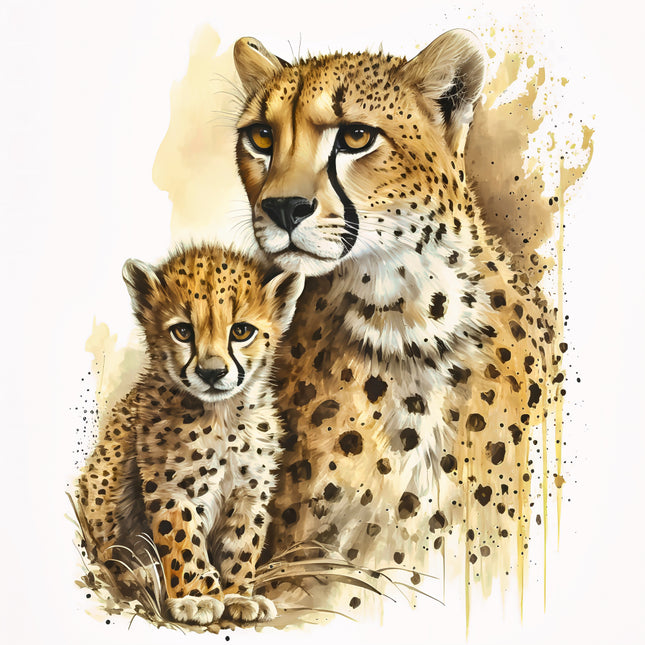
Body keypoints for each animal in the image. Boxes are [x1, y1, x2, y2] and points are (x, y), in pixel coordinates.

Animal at [76, 243, 304, 625]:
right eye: (182, 332)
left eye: (241, 331)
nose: (212, 372)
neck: (224, 416)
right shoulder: (170, 490)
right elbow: (182, 542)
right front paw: (197, 597)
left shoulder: (249, 492)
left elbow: (243, 544)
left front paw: (239, 595)